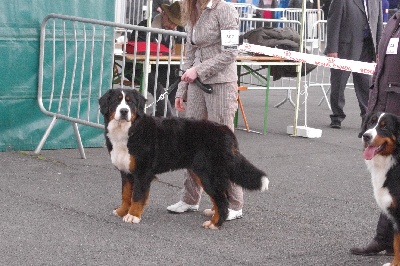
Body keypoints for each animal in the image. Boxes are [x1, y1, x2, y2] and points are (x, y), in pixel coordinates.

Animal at [98, 88, 270, 230]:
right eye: (116, 101)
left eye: (130, 102)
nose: (124, 111)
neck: (129, 131)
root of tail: (227, 131)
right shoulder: (126, 172)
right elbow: (125, 194)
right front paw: (121, 211)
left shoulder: (142, 172)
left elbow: (137, 196)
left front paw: (133, 215)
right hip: (202, 172)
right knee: (221, 196)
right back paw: (213, 213)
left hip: (208, 173)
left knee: (222, 200)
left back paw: (215, 223)